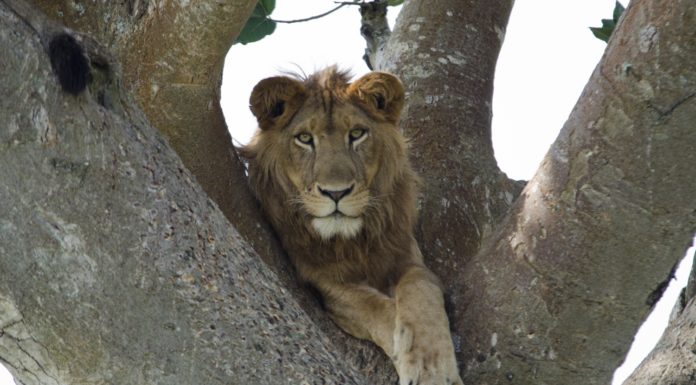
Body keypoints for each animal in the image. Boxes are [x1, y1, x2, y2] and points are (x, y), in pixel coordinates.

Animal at [242, 67, 464, 384]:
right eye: (304, 138)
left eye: (357, 134)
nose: (336, 193)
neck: (352, 240)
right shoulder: (323, 280)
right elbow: (374, 308)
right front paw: (408, 352)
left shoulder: (406, 254)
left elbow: (419, 287)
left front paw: (432, 366)